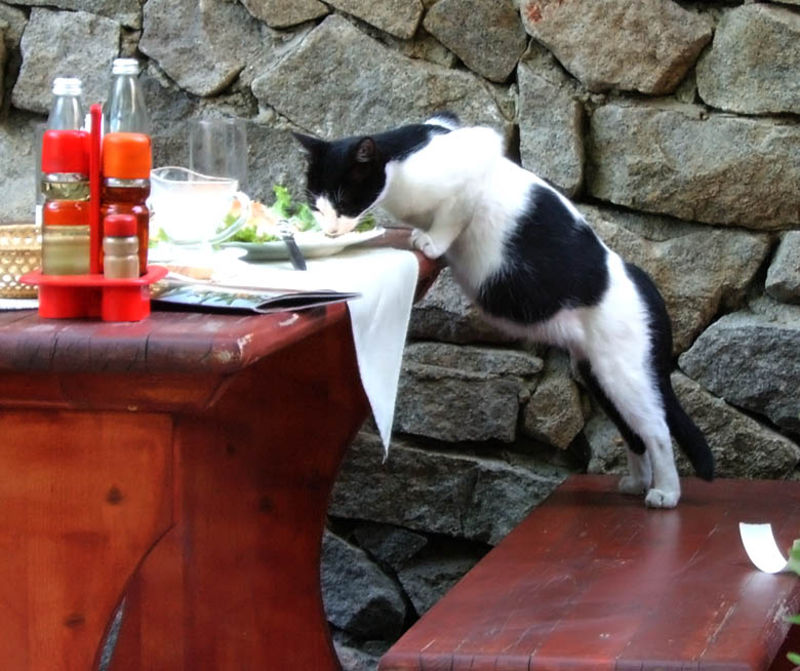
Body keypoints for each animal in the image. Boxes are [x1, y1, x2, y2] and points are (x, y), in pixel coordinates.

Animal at [293, 113, 714, 508]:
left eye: (343, 201)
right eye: (316, 204)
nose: (330, 231)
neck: (398, 170)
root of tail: (641, 280)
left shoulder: (476, 155)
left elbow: (452, 216)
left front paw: (430, 242)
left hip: (624, 373)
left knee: (657, 430)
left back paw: (666, 494)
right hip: (598, 375)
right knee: (633, 433)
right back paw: (636, 483)